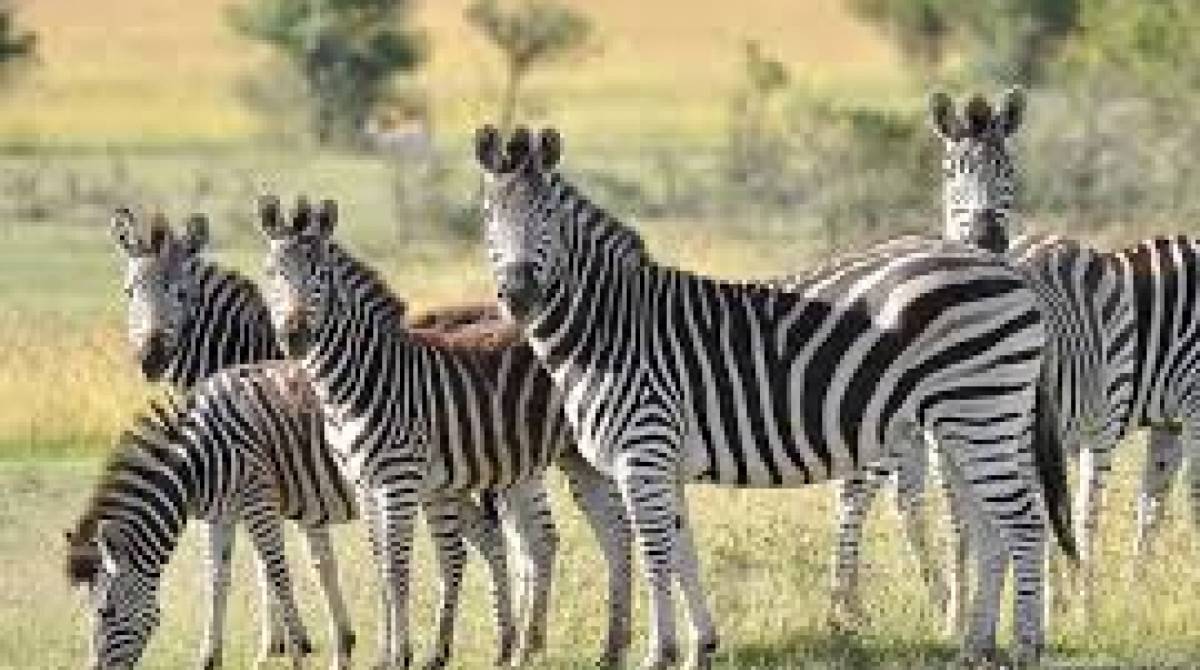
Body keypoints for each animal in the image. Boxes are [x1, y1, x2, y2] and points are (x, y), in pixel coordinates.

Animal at [66, 363, 347, 670]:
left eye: (107, 612)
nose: (93, 669)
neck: (200, 459)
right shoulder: (221, 516)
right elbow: (217, 579)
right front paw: (209, 659)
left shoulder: (258, 500)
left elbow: (278, 575)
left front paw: (297, 652)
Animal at [107, 210, 543, 668]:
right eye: (129, 292)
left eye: (181, 293)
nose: (151, 357)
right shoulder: (299, 491)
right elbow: (313, 565)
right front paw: (331, 642)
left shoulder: (271, 482)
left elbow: (271, 567)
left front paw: (275, 647)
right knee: (504, 540)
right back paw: (509, 642)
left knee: (520, 542)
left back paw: (515, 642)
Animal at [255, 195, 633, 669]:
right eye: (271, 271)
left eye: (319, 273)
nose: (295, 336)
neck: (357, 380)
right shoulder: (364, 482)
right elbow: (380, 564)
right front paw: (387, 653)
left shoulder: (399, 480)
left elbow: (397, 568)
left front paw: (402, 655)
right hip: (565, 457)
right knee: (604, 533)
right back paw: (601, 648)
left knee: (616, 531)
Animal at [474, 125, 1077, 667]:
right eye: (487, 216)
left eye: (547, 216)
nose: (519, 295)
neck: (610, 330)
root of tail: (1008, 271)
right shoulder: (664, 461)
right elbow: (684, 552)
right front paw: (701, 647)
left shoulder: (642, 452)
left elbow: (655, 556)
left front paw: (658, 653)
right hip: (972, 424)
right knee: (992, 527)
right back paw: (977, 646)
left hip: (981, 413)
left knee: (1025, 524)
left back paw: (1026, 647)